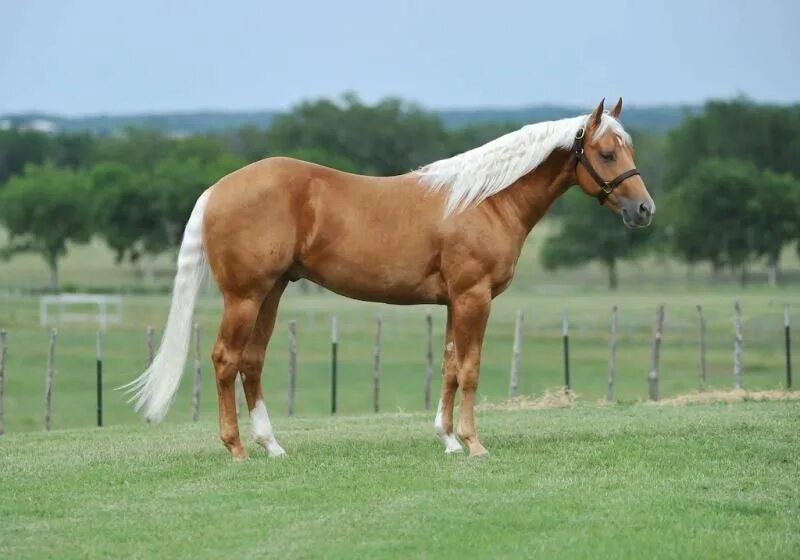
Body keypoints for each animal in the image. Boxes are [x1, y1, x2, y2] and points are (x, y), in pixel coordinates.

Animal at [128, 99, 656, 460]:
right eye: (606, 153)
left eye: (628, 147)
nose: (644, 209)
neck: (484, 199)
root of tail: (217, 189)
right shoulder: (474, 298)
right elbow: (470, 369)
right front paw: (474, 444)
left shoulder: (454, 302)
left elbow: (448, 366)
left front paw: (448, 441)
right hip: (244, 296)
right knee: (224, 360)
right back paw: (236, 448)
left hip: (271, 293)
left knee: (251, 362)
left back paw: (272, 446)